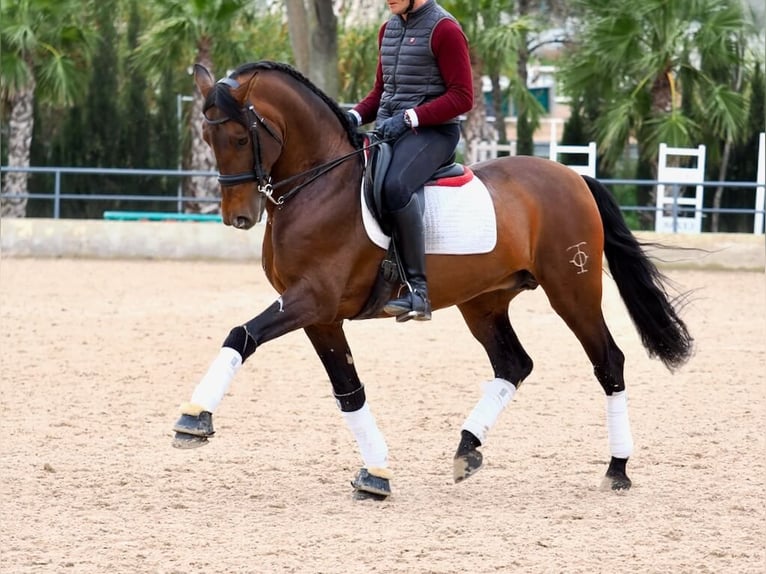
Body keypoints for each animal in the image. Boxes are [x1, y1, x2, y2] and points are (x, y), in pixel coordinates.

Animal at [172, 62, 696, 500]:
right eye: (207, 138)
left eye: (241, 138)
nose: (238, 217)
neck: (319, 186)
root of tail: (572, 175)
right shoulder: (319, 315)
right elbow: (349, 390)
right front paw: (377, 474)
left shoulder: (312, 300)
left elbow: (241, 334)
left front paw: (193, 419)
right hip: (483, 301)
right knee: (514, 364)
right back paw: (467, 449)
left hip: (573, 289)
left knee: (608, 361)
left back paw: (617, 468)